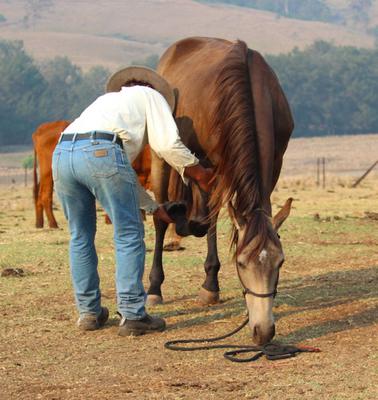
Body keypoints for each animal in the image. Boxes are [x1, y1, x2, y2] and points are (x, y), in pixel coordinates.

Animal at [147, 36, 292, 346]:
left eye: (280, 262)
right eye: (241, 263)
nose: (263, 331)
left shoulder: (275, 161)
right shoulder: (217, 165)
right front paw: (208, 286)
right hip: (162, 157)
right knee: (161, 218)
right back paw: (155, 288)